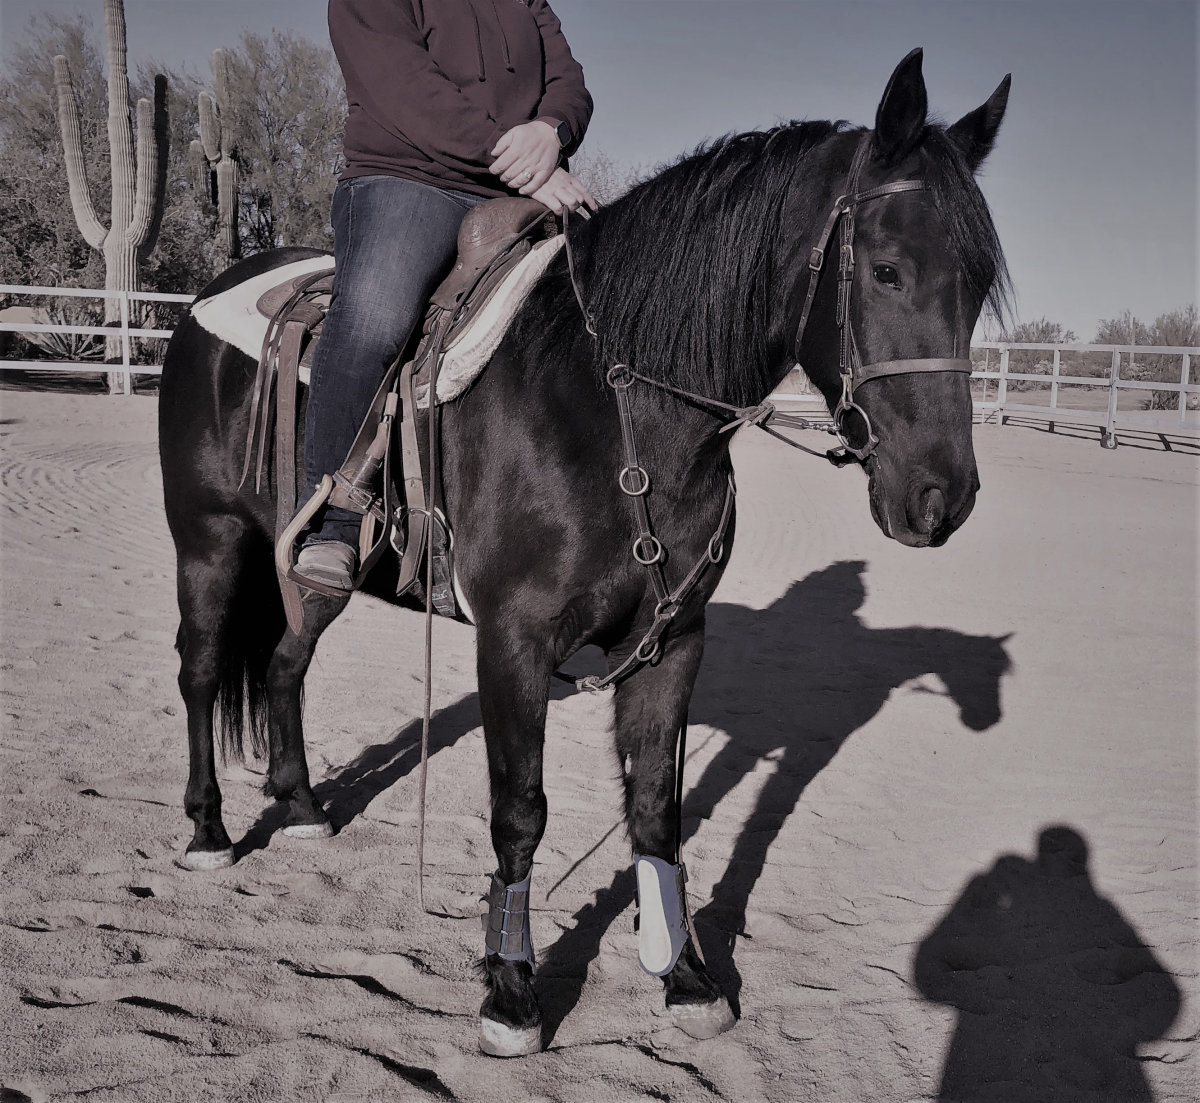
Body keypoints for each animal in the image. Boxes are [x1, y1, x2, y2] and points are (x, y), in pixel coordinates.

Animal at [158, 48, 1011, 1055]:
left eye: (978, 282)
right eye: (885, 270)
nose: (942, 497)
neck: (614, 404)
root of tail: (205, 300)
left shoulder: (673, 642)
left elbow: (656, 812)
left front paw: (684, 974)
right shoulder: (513, 642)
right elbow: (520, 811)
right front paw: (511, 988)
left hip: (306, 568)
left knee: (287, 663)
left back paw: (298, 807)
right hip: (209, 541)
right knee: (202, 670)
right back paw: (209, 833)